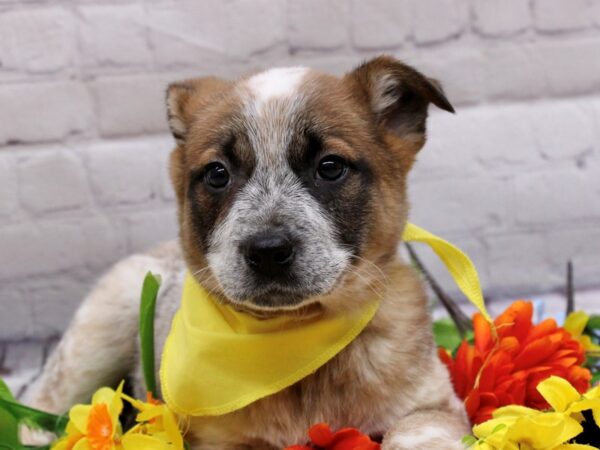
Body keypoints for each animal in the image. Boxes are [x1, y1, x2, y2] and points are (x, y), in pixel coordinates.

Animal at [24, 57, 468, 450]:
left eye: (330, 167)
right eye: (217, 173)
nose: (268, 251)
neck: (298, 344)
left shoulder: (436, 403)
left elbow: (411, 432)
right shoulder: (213, 441)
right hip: (99, 332)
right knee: (43, 397)